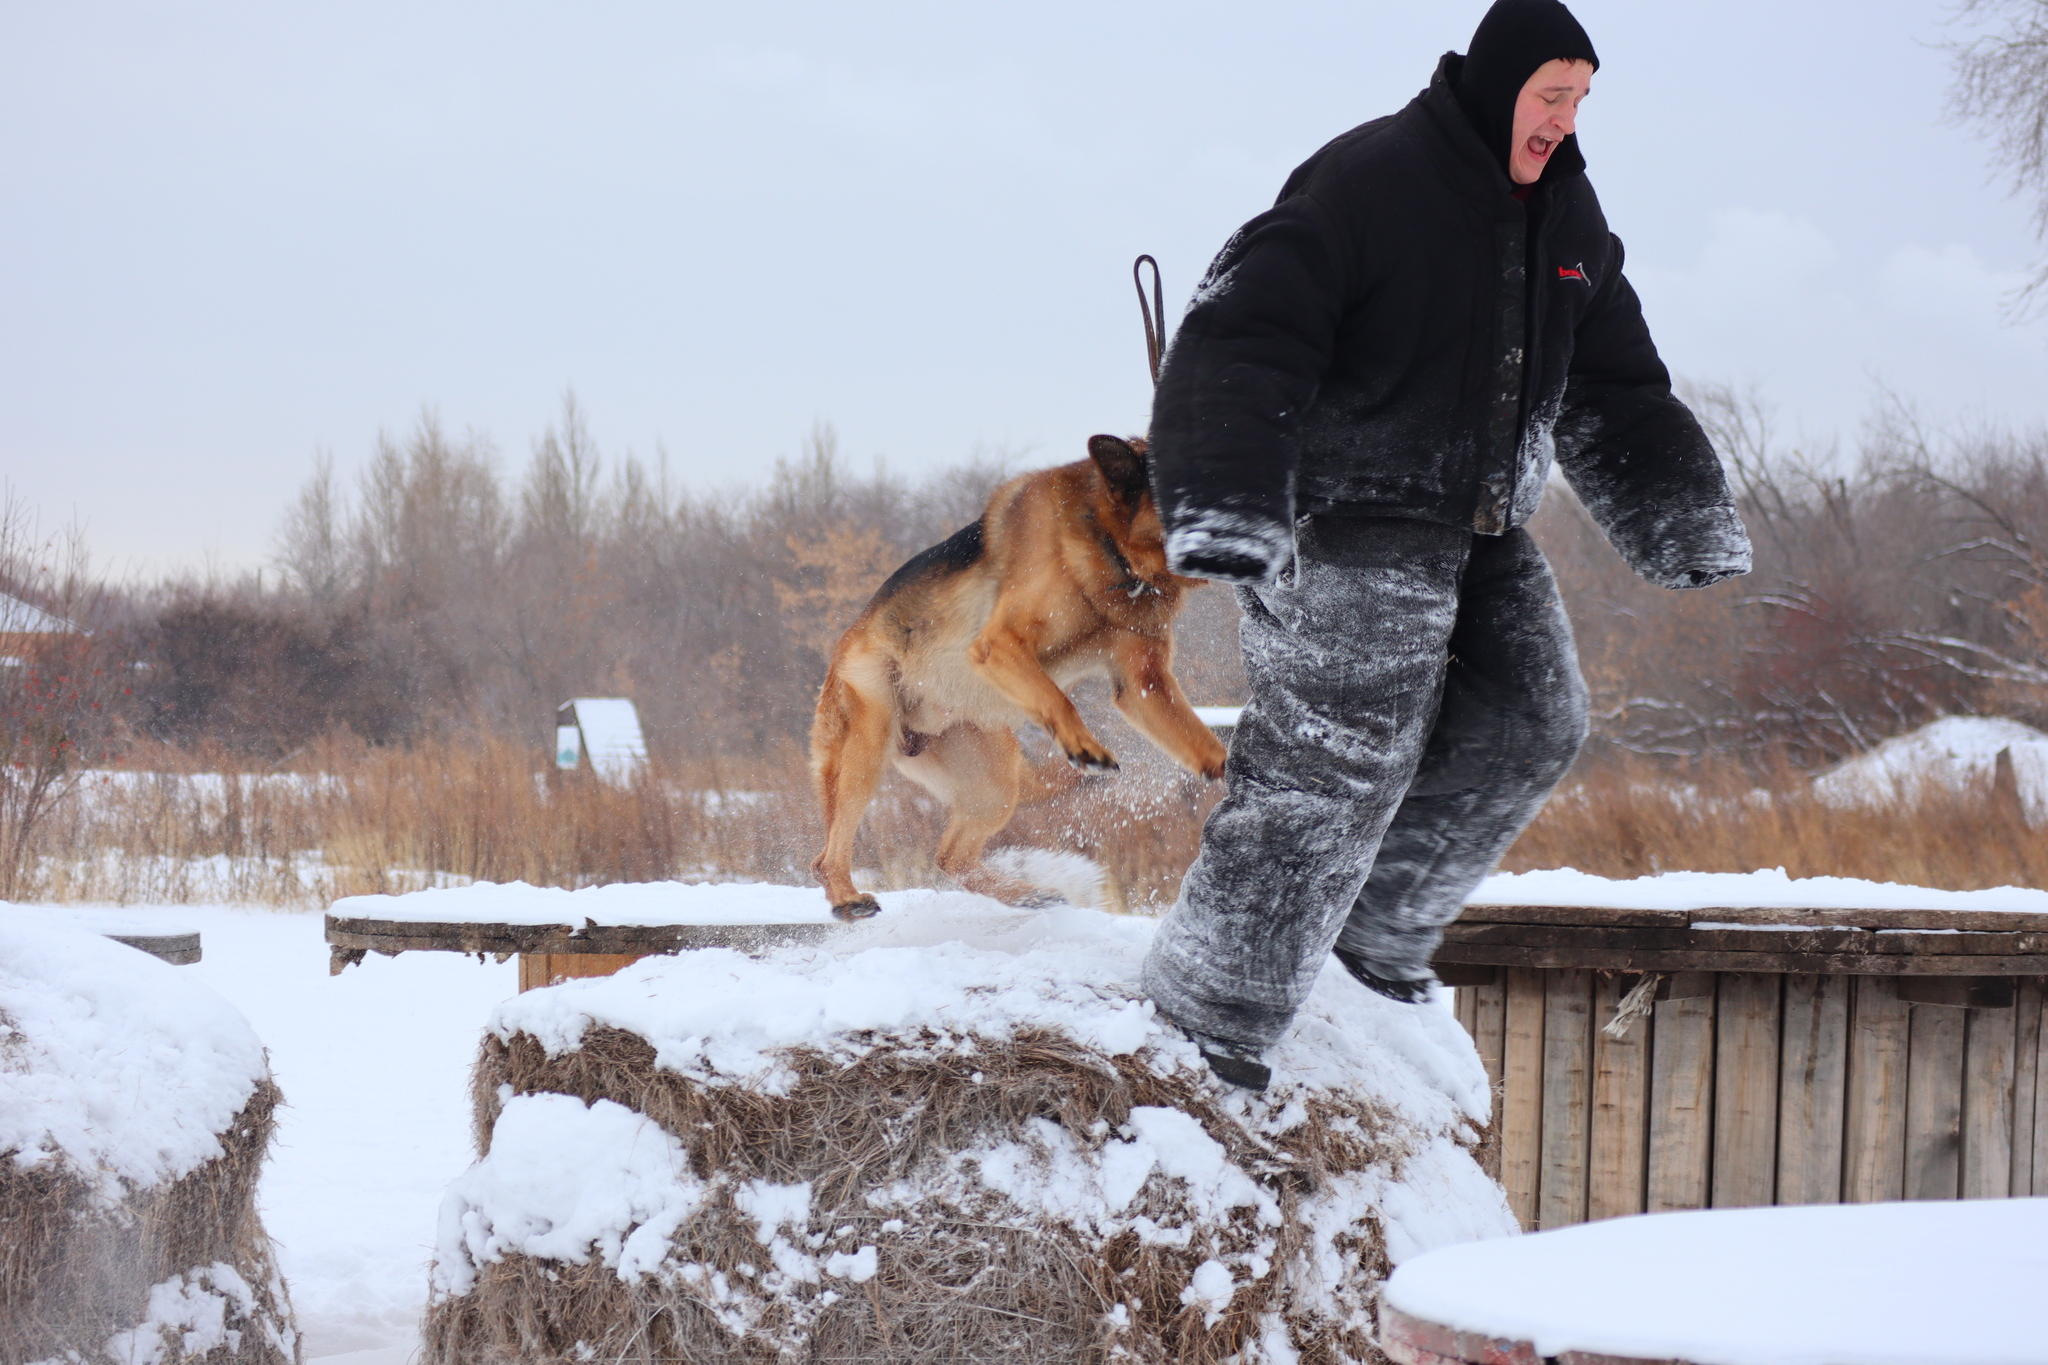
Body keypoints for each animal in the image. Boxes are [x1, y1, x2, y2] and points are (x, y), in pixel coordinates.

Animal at [811, 437, 1228, 925]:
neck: (1111, 551)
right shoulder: (1001, 643)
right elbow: (1058, 698)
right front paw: (1083, 746)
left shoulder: (1143, 684)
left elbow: (1202, 742)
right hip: (867, 742)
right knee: (827, 855)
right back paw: (846, 899)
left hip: (993, 785)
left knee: (950, 857)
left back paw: (1025, 895)